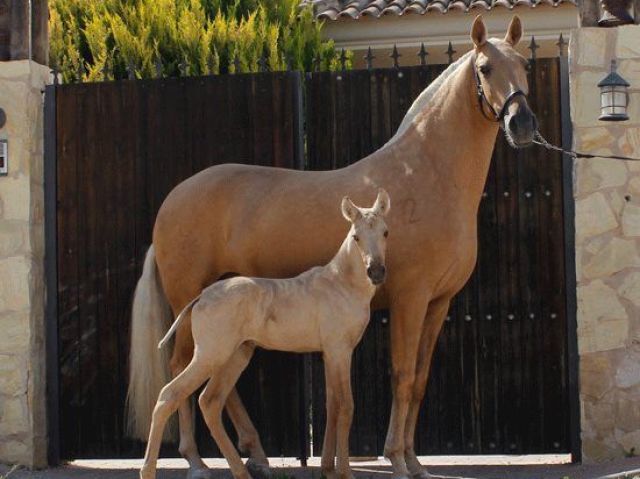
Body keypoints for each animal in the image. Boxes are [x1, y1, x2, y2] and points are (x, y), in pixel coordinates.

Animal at [140, 191, 390, 479]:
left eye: (385, 232)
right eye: (356, 236)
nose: (376, 272)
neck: (340, 284)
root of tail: (201, 297)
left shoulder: (329, 353)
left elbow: (333, 405)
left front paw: (328, 469)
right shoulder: (340, 350)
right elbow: (347, 407)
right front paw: (346, 473)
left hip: (235, 356)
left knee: (209, 402)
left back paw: (242, 472)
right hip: (210, 356)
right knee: (169, 395)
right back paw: (149, 470)